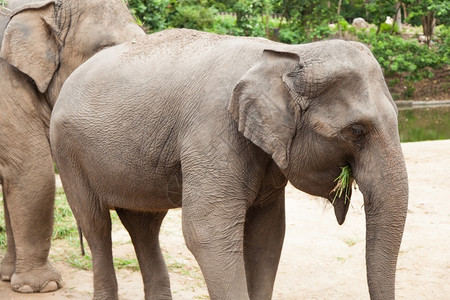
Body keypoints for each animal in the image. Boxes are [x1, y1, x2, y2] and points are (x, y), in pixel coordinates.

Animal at [51, 28, 410, 300]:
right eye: (357, 130)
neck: (286, 55)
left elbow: (268, 234)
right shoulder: (213, 131)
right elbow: (207, 232)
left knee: (144, 224)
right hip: (67, 152)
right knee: (96, 224)